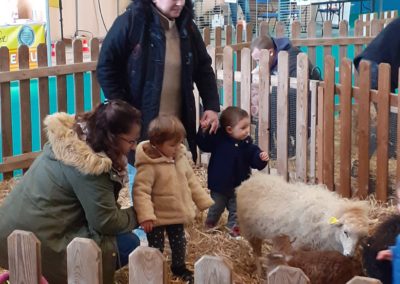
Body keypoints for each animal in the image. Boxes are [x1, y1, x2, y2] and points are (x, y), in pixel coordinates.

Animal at [236, 172, 370, 268]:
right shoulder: (298, 245)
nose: (350, 255)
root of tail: (253, 178)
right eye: (345, 232)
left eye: (362, 237)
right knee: (256, 253)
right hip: (250, 231)